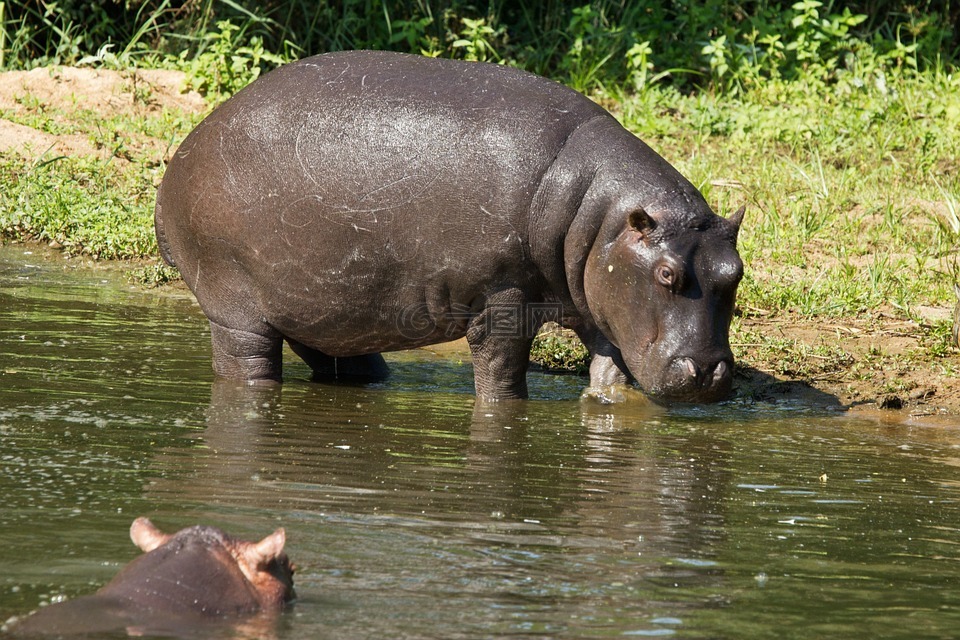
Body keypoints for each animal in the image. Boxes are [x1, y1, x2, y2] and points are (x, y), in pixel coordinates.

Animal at [154, 50, 748, 402]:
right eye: (667, 274)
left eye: (736, 273)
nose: (710, 372)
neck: (601, 214)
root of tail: (179, 158)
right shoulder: (501, 297)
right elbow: (502, 373)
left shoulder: (599, 302)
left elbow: (611, 376)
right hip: (236, 309)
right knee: (246, 365)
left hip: (318, 307)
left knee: (338, 358)